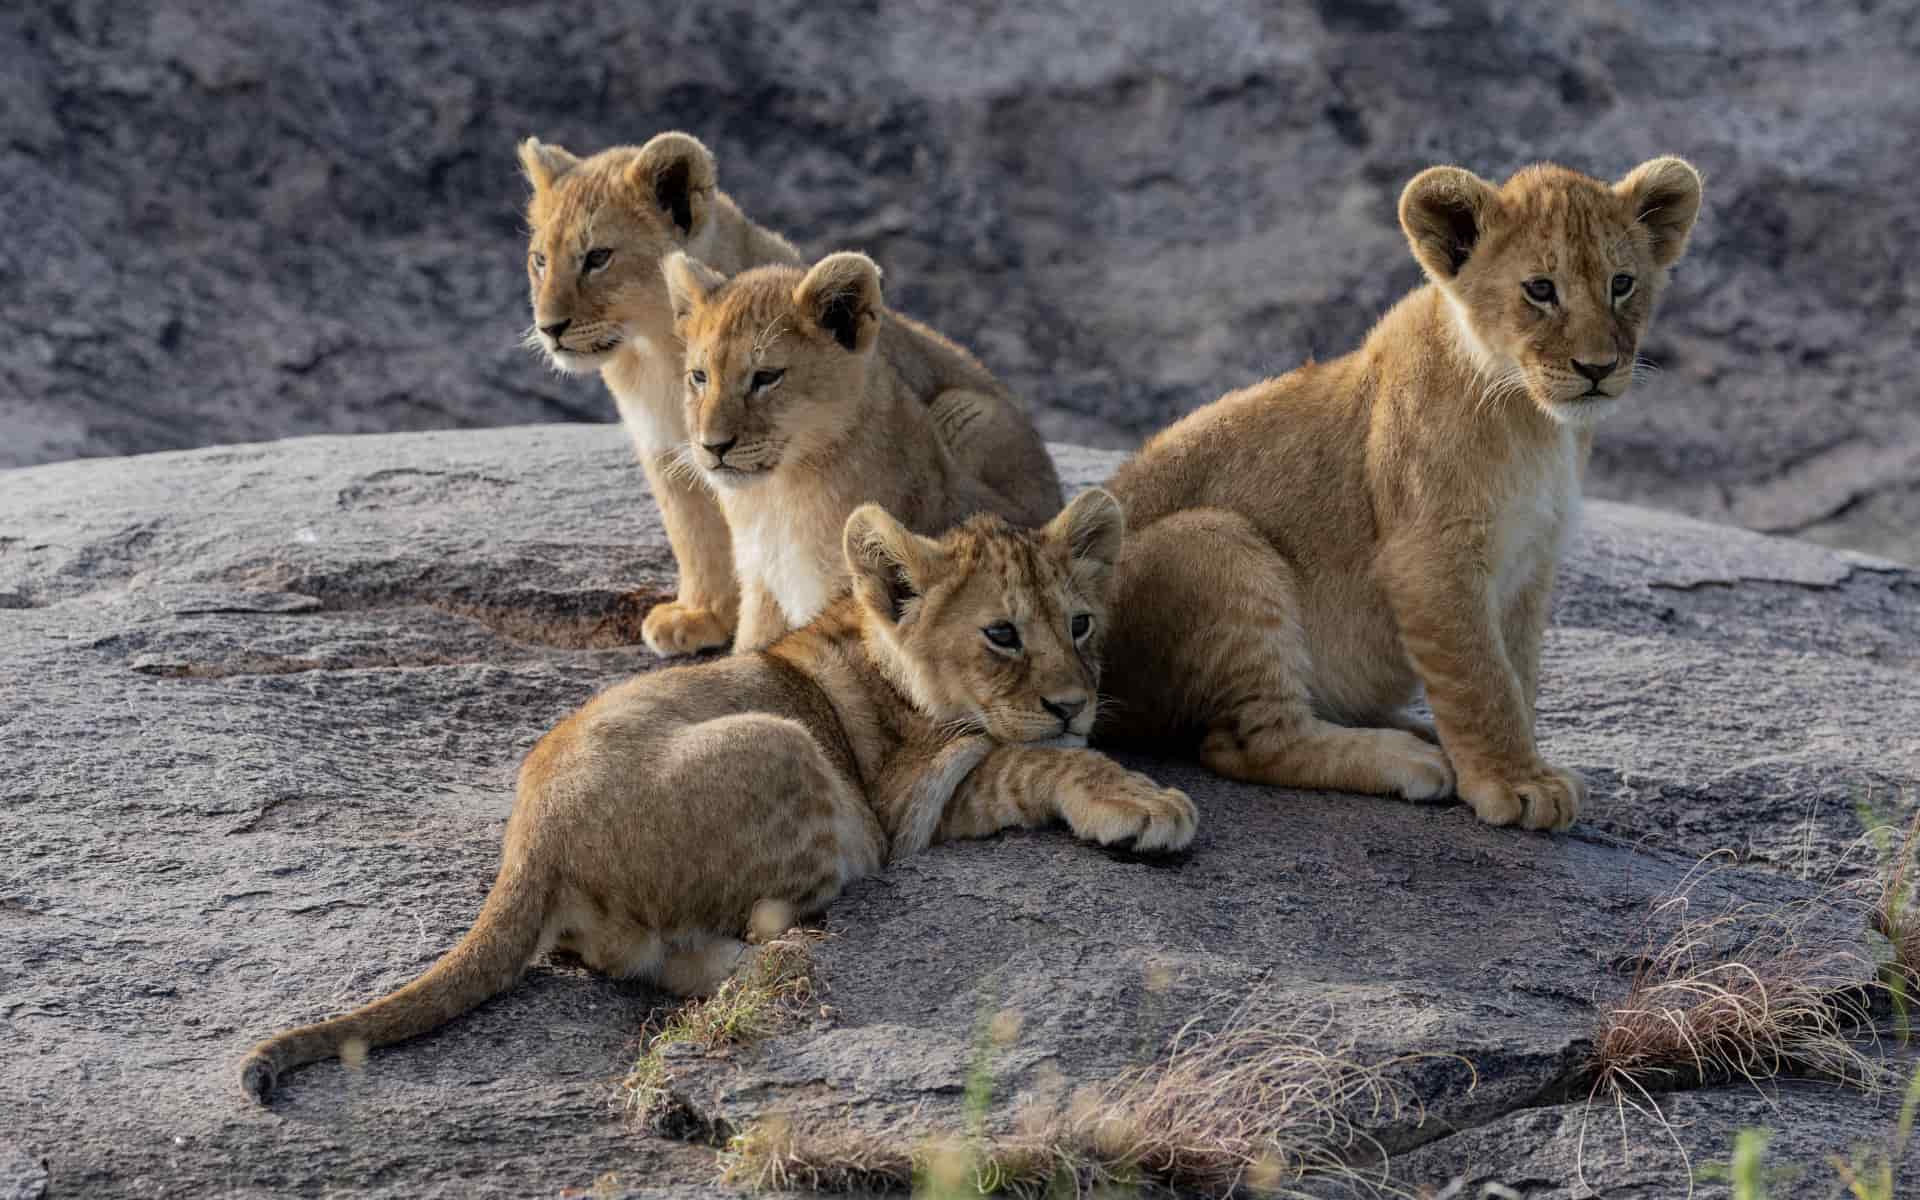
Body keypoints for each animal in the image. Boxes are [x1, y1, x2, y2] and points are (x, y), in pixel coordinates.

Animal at [236, 489, 1194, 1102]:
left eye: (1080, 624)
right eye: (1001, 634)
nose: (1073, 703)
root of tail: (531, 839)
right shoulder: (908, 805)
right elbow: (1034, 762)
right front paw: (1148, 803)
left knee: (629, 962)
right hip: (785, 744)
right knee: (728, 938)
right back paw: (783, 962)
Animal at [1097, 157, 1704, 832]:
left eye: (1622, 284)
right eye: (1540, 290)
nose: (1598, 368)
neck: (1534, 422)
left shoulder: (1532, 563)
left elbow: (1517, 671)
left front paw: (1526, 763)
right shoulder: (1429, 554)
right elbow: (1480, 677)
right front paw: (1517, 782)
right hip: (1214, 541)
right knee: (1245, 742)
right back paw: (1407, 758)